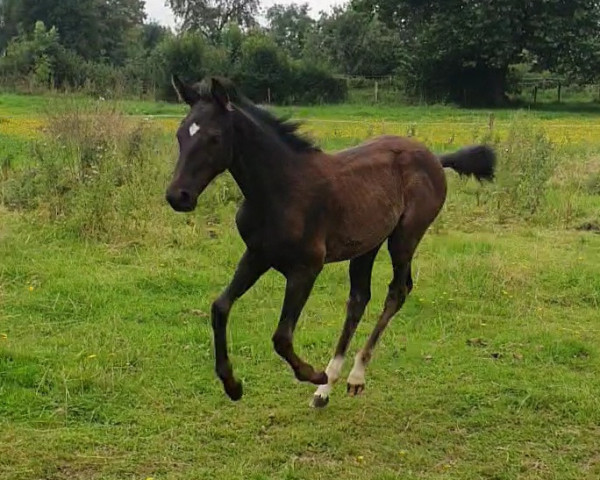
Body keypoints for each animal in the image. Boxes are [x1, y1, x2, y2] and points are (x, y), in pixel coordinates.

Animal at [166, 77, 494, 406]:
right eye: (180, 134)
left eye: (214, 138)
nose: (178, 196)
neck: (280, 189)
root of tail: (435, 158)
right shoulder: (257, 254)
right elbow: (220, 307)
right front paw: (232, 385)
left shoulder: (306, 268)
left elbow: (281, 337)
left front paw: (312, 374)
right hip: (368, 244)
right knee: (359, 299)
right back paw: (328, 387)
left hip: (404, 238)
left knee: (397, 292)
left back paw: (352, 376)